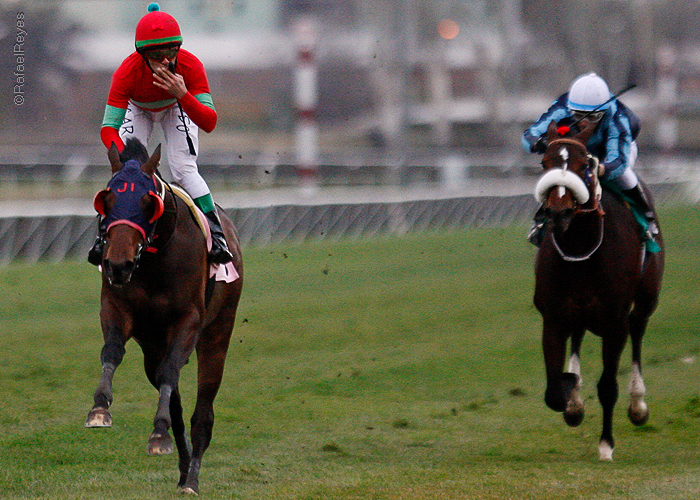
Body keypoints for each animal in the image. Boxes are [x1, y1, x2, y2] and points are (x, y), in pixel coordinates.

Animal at [84, 138, 243, 494]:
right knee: (175, 403)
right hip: (151, 350)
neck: (155, 259)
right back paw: (183, 468)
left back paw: (192, 479)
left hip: (217, 334)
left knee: (202, 411)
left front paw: (158, 433)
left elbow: (173, 371)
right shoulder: (116, 307)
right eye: (106, 200)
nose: (119, 264)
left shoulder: (189, 320)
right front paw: (100, 408)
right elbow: (111, 352)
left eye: (148, 202)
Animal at [533, 120, 664, 461]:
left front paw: (606, 445)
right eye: (545, 163)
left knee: (638, 332)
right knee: (578, 336)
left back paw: (638, 406)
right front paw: (571, 396)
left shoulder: (615, 322)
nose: (559, 212)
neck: (580, 248)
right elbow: (553, 392)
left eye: (585, 166)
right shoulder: (553, 317)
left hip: (646, 300)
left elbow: (607, 386)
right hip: (578, 312)